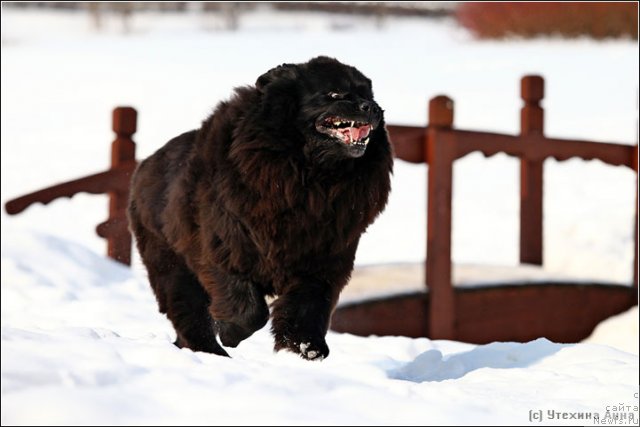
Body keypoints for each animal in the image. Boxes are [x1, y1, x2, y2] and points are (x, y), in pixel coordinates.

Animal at [127, 55, 392, 360]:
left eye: (368, 95)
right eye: (335, 94)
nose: (371, 107)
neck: (311, 178)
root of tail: (144, 166)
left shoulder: (324, 257)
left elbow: (308, 306)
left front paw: (306, 347)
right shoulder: (227, 247)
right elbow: (250, 310)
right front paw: (230, 332)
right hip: (170, 264)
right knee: (187, 310)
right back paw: (210, 352)